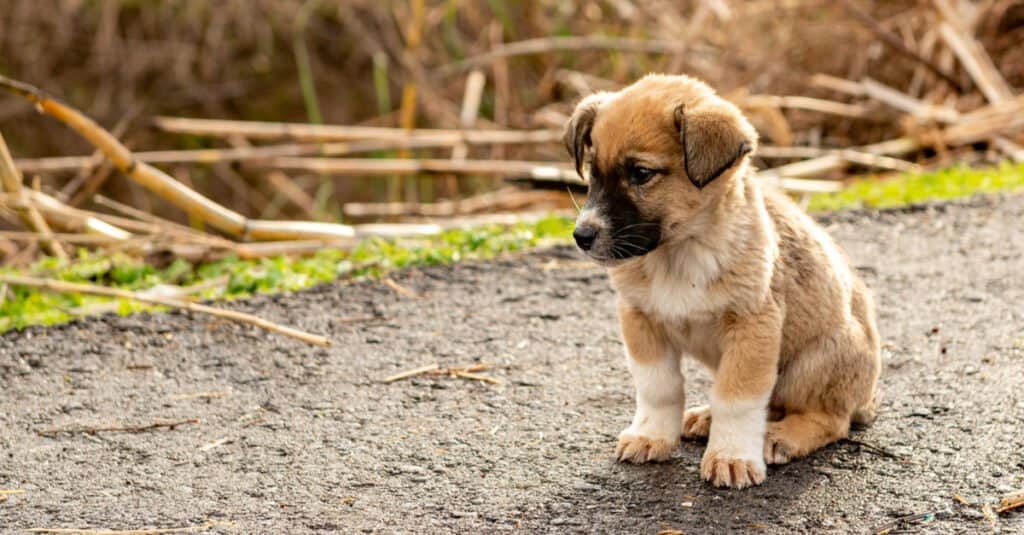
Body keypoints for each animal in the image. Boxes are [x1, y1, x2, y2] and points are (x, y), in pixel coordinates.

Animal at [561, 74, 880, 487]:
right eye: (592, 171)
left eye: (641, 174)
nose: (582, 236)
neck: (680, 253)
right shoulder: (639, 319)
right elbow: (658, 387)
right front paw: (651, 435)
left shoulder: (753, 326)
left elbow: (737, 396)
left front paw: (732, 456)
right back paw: (706, 418)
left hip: (816, 361)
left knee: (828, 420)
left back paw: (780, 437)